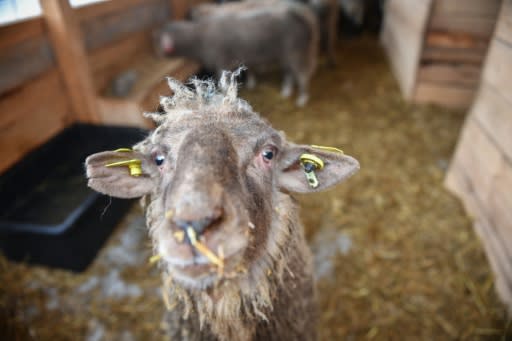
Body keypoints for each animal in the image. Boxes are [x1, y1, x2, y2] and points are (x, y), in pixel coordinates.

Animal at [154, 1, 318, 106]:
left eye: (158, 42)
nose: (157, 55)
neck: (199, 37)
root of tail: (298, 12)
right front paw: (251, 82)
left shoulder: (222, 63)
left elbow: (224, 84)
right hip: (286, 54)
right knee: (289, 73)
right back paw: (286, 91)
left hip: (295, 52)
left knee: (302, 75)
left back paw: (302, 99)